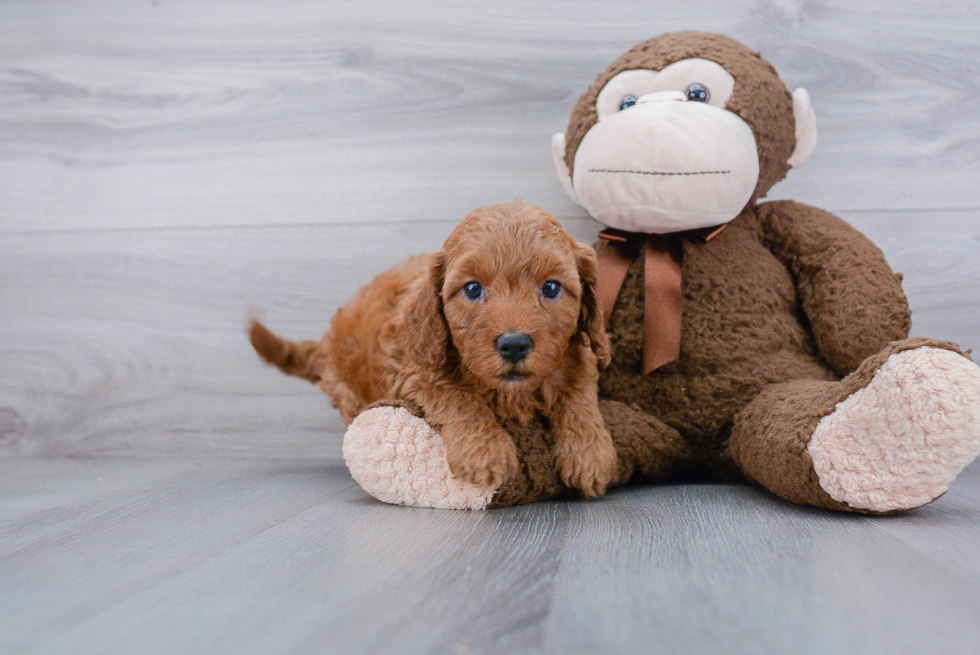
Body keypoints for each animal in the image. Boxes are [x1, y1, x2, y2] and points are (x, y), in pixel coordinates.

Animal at [253, 201, 620, 498]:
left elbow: (579, 392)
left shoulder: (582, 355)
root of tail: (326, 343)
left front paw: (590, 454)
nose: (514, 344)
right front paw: (485, 452)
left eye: (552, 288)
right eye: (472, 289)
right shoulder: (416, 373)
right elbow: (460, 398)